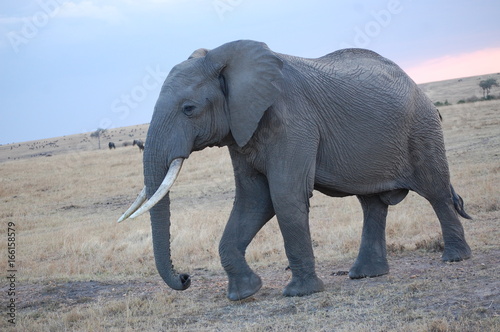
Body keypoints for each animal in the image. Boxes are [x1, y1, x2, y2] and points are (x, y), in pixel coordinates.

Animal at [118, 39, 472, 300]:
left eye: (189, 109)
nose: (185, 277)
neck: (226, 59)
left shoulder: (293, 121)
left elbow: (284, 196)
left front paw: (300, 293)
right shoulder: (242, 130)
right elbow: (253, 200)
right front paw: (244, 293)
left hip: (422, 128)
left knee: (436, 192)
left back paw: (455, 258)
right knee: (372, 204)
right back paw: (365, 274)